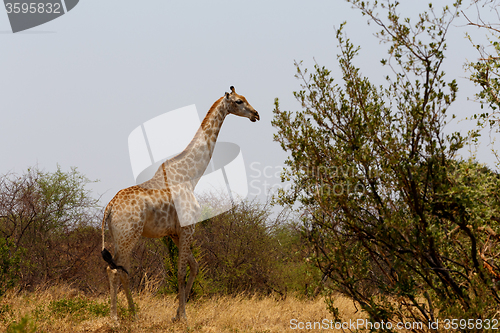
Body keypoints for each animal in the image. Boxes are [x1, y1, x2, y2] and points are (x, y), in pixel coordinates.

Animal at [100, 86, 260, 322]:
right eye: (239, 101)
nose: (256, 114)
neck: (191, 176)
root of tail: (109, 208)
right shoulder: (187, 229)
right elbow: (182, 271)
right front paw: (183, 315)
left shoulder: (175, 232)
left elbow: (194, 267)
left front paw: (177, 313)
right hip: (129, 235)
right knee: (114, 270)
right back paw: (115, 318)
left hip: (120, 236)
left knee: (121, 268)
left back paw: (133, 313)